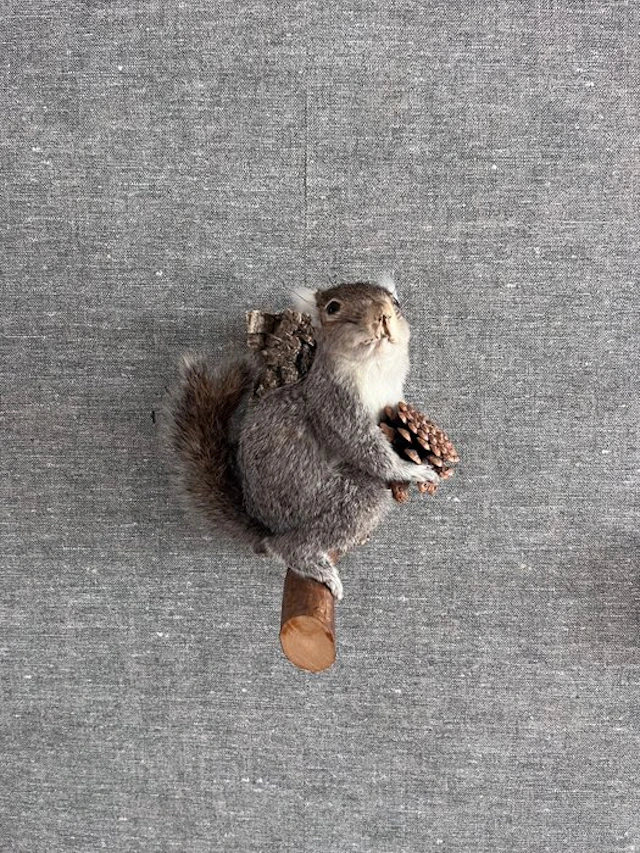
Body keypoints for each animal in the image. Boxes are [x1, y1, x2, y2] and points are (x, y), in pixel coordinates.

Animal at [168, 279, 437, 600]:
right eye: (333, 308)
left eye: (395, 302)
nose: (382, 314)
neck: (374, 368)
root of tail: (268, 525)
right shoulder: (333, 403)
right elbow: (362, 446)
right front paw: (411, 470)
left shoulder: (393, 401)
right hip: (321, 499)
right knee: (289, 545)